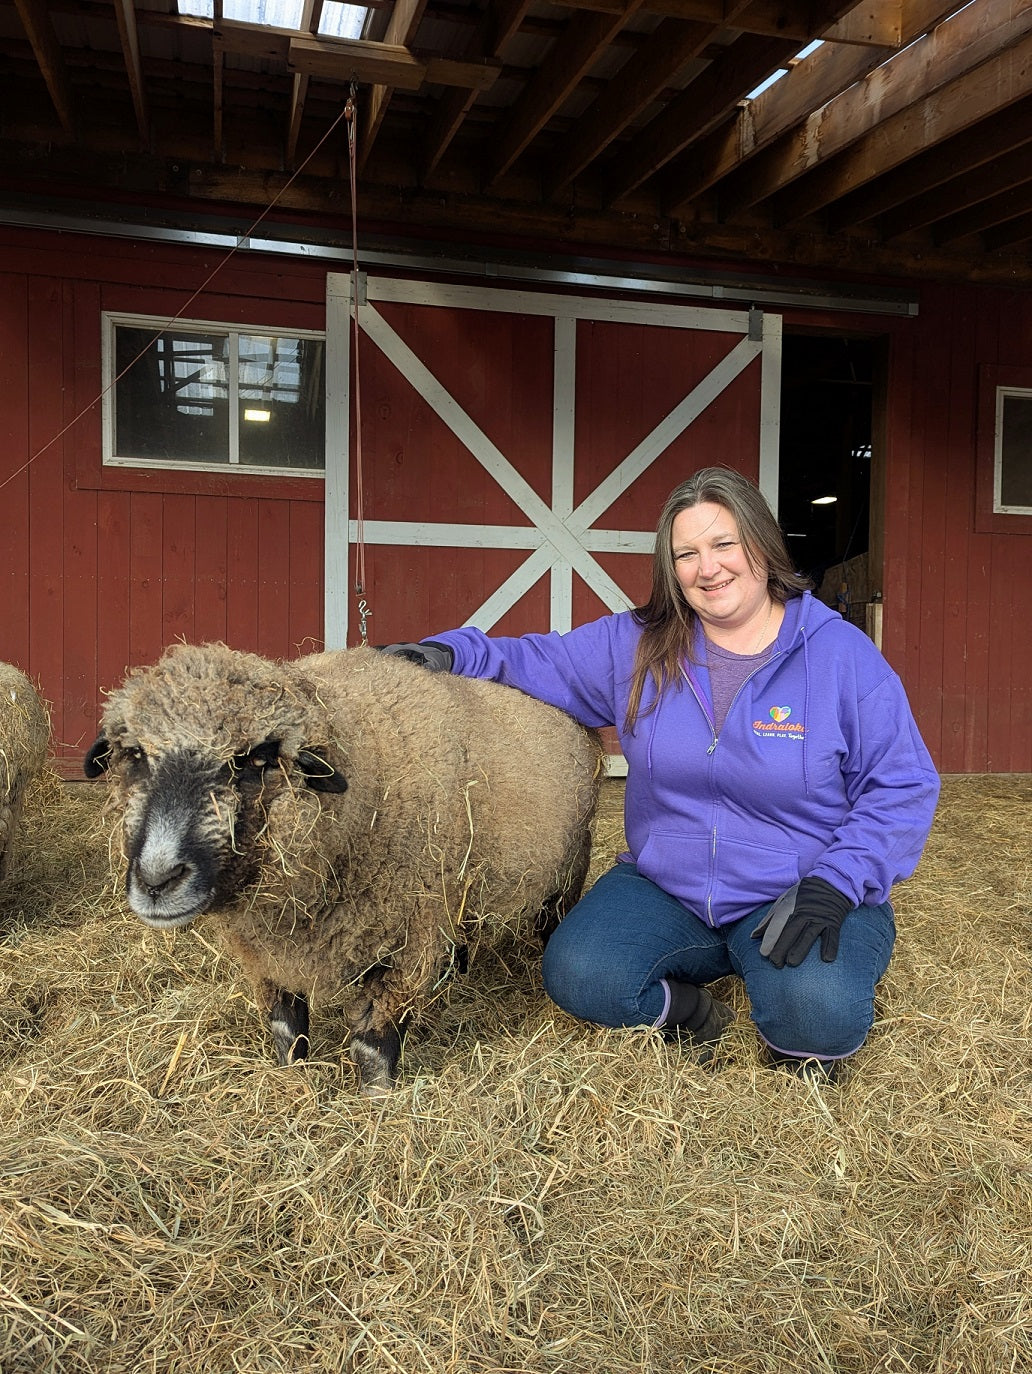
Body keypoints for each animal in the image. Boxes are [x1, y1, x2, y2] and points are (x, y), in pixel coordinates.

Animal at [88, 643, 604, 1093]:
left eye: (257, 759)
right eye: (135, 754)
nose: (157, 880)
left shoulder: (410, 934)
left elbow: (372, 1044)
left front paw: (376, 1100)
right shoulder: (267, 945)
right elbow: (285, 1028)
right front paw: (291, 1079)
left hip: (569, 860)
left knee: (552, 915)